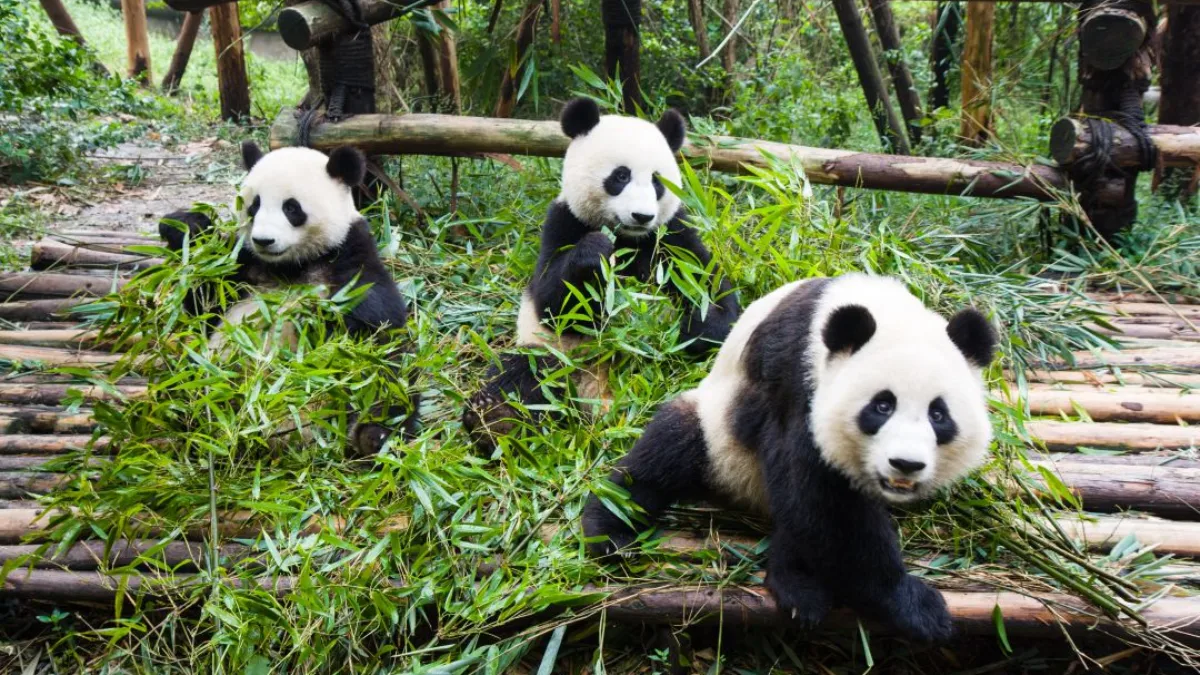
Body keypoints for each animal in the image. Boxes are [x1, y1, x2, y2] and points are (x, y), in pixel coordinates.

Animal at [158, 141, 417, 456]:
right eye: (254, 206)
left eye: (291, 208)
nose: (264, 241)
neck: (290, 266)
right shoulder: (243, 266)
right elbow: (204, 301)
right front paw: (184, 226)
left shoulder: (349, 258)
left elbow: (377, 332)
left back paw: (373, 437)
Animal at [463, 97, 742, 449]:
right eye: (620, 176)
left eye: (656, 181)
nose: (642, 216)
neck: (628, 237)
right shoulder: (563, 220)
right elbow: (551, 300)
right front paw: (595, 252)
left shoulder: (672, 234)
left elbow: (710, 288)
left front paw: (690, 328)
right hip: (555, 355)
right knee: (523, 372)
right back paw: (496, 419)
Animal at [582, 273, 997, 642]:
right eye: (882, 406)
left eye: (938, 414)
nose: (905, 464)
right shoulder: (797, 381)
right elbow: (823, 500)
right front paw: (915, 605)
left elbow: (813, 507)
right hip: (719, 437)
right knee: (665, 454)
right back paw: (610, 531)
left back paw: (795, 582)